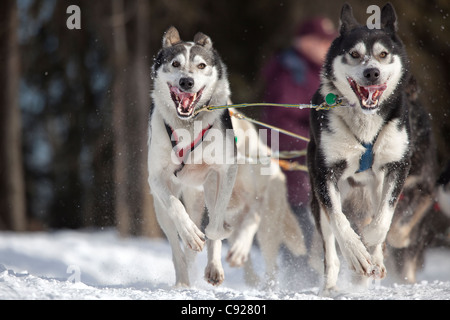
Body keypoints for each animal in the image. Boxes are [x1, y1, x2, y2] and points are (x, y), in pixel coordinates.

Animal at [149, 26, 306, 288]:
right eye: (175, 63)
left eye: (201, 65)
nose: (186, 81)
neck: (189, 127)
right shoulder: (157, 178)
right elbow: (175, 208)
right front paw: (192, 235)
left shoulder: (225, 171)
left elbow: (216, 226)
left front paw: (221, 233)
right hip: (175, 203)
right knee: (178, 244)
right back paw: (185, 278)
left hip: (260, 211)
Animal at [308, 2, 434, 292]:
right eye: (354, 54)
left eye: (383, 54)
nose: (372, 72)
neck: (365, 125)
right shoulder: (324, 174)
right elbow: (339, 221)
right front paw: (356, 253)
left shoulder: (398, 167)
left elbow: (385, 217)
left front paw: (371, 243)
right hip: (318, 198)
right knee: (330, 247)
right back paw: (331, 284)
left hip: (378, 185)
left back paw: (375, 258)